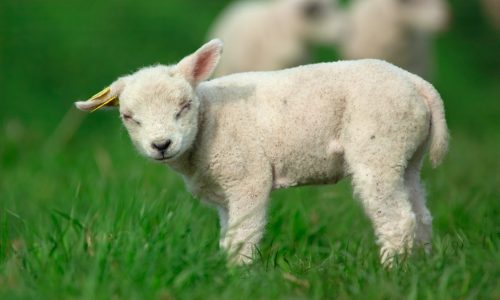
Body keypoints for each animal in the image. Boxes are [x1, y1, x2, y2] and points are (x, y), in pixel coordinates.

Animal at [74, 39, 450, 264]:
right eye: (129, 117)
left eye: (184, 106)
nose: (161, 145)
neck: (209, 119)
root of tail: (419, 85)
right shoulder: (224, 191)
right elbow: (228, 234)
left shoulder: (246, 176)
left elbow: (242, 235)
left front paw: (237, 275)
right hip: (406, 153)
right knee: (421, 214)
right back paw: (422, 266)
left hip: (379, 144)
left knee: (397, 218)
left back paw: (393, 270)